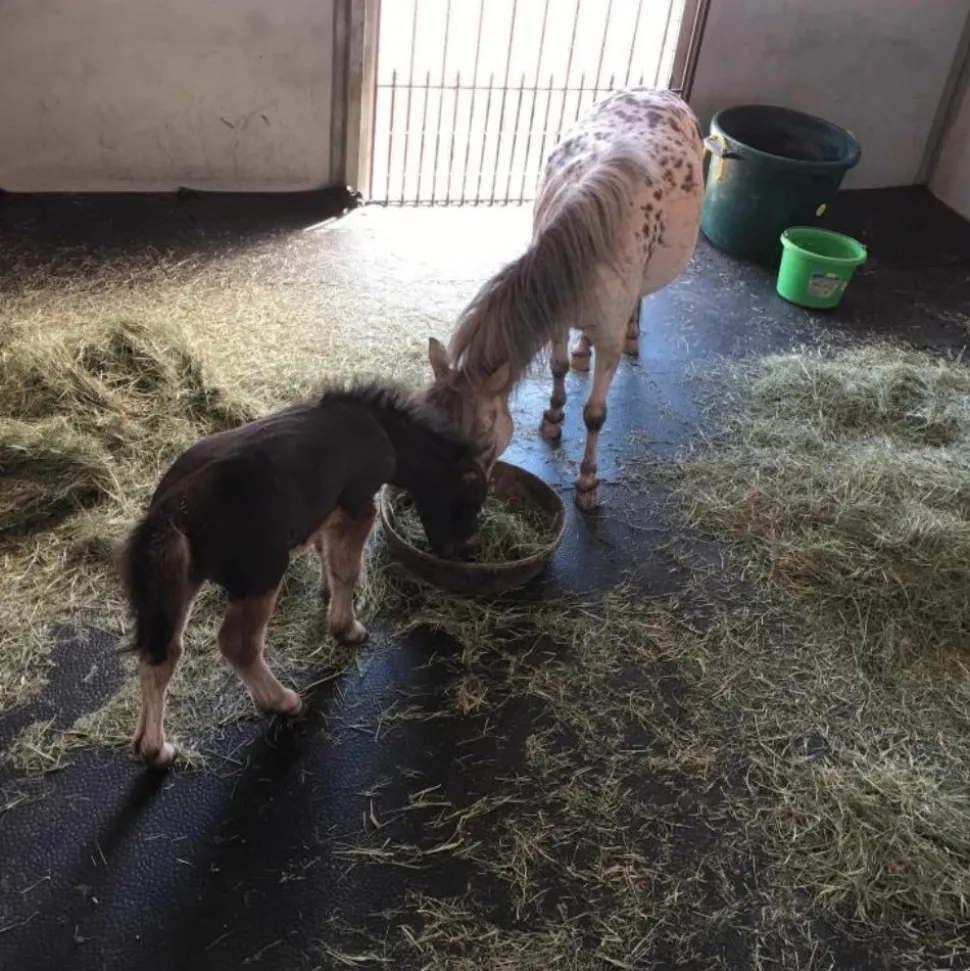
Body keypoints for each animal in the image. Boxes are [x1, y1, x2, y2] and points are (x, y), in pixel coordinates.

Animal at [118, 381, 487, 769]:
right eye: (468, 503)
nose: (462, 551)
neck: (381, 430)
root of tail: (173, 511)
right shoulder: (357, 503)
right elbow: (347, 569)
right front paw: (347, 628)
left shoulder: (325, 509)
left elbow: (325, 551)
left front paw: (326, 596)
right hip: (261, 575)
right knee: (237, 643)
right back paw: (282, 702)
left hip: (177, 583)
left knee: (162, 652)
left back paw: (155, 749)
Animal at [417, 86, 705, 509]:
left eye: (484, 439)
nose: (459, 503)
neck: (587, 242)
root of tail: (661, 92)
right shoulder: (556, 318)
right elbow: (557, 368)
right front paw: (553, 417)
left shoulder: (608, 342)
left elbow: (595, 414)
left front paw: (587, 482)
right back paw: (582, 349)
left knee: (637, 302)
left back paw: (632, 335)